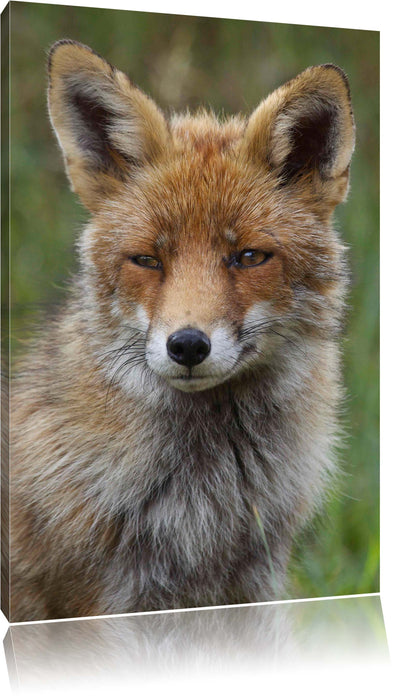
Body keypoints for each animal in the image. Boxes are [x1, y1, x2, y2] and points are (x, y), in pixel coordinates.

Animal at [5, 40, 355, 622]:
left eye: (248, 257)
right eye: (147, 259)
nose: (188, 345)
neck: (206, 502)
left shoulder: (254, 589)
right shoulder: (103, 605)